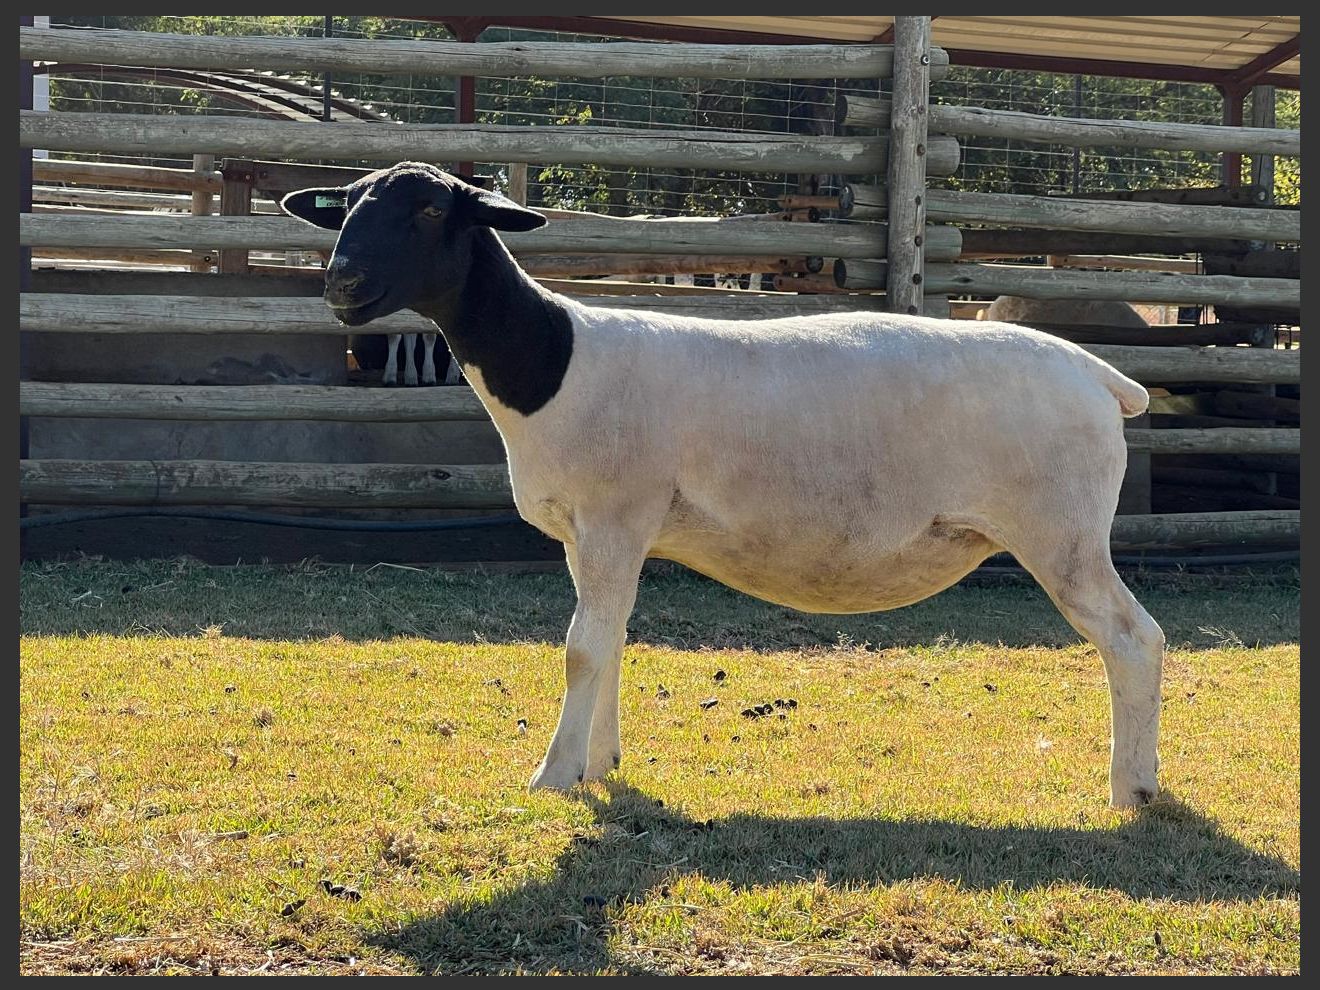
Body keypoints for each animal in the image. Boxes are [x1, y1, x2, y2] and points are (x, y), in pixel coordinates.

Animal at [282, 163, 1164, 809]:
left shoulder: (615, 516)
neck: (551, 364)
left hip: (1063, 531)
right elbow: (610, 640)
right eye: (347, 207)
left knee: (1134, 639)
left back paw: (1133, 789)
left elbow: (580, 648)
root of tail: (1102, 378)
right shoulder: (592, 535)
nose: (342, 284)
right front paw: (600, 763)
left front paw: (554, 775)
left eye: (432, 212)